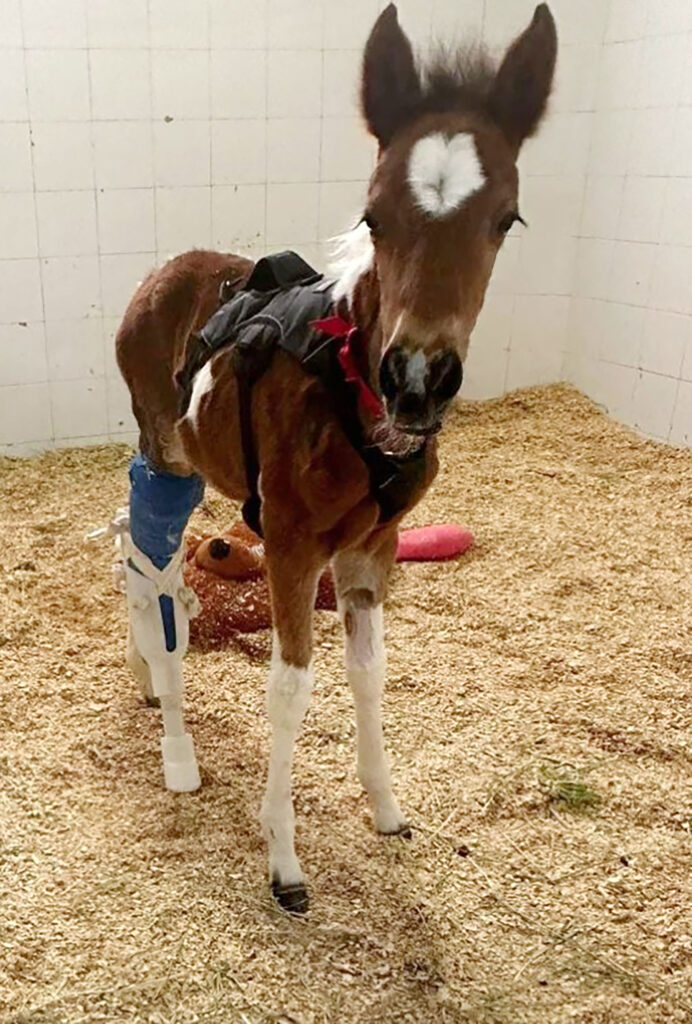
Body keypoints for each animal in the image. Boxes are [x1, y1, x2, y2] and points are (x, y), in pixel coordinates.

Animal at [113, 4, 556, 909]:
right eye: (373, 215)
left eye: (507, 219)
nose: (418, 379)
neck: (353, 390)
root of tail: (162, 272)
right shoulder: (288, 542)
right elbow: (290, 685)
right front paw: (284, 862)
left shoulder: (371, 547)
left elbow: (369, 671)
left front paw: (385, 809)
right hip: (165, 454)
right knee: (153, 574)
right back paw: (174, 741)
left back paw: (145, 681)